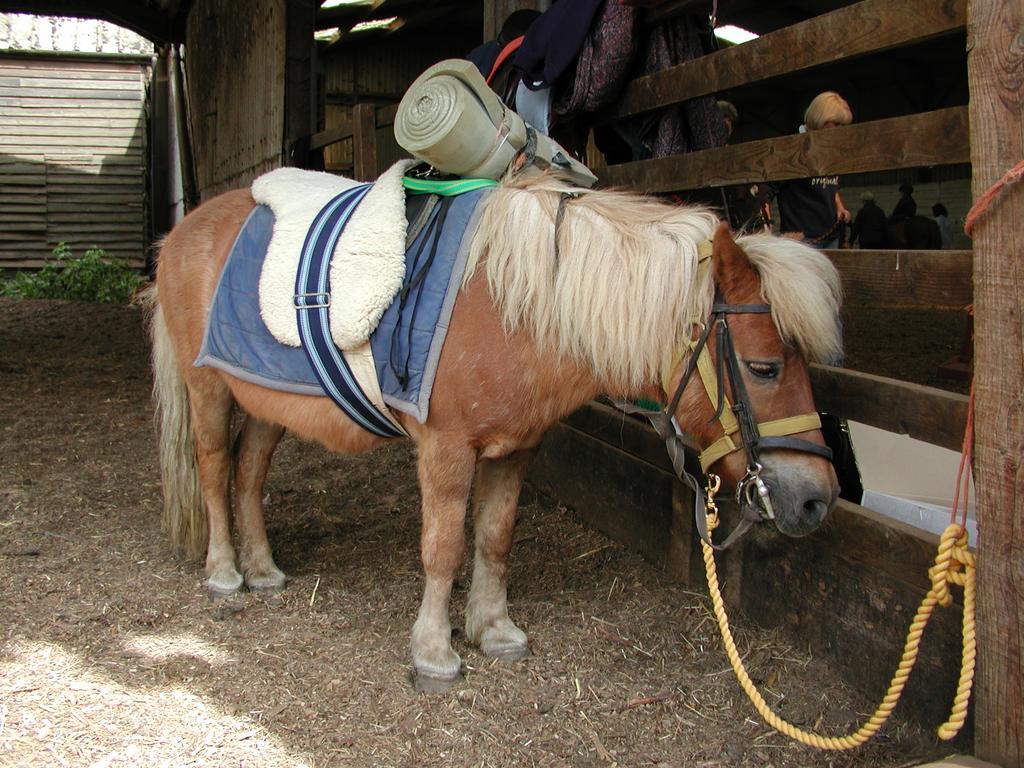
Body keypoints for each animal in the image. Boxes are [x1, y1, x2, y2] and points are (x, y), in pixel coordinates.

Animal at [148, 173, 843, 692]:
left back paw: (263, 568)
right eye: (764, 367)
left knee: (248, 473)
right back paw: (225, 570)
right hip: (208, 389)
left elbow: (494, 536)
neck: (514, 306)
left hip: (268, 402)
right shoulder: (446, 449)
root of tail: (180, 233)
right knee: (214, 466)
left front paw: (492, 628)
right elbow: (443, 546)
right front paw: (434, 649)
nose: (817, 497)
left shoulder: (515, 451)